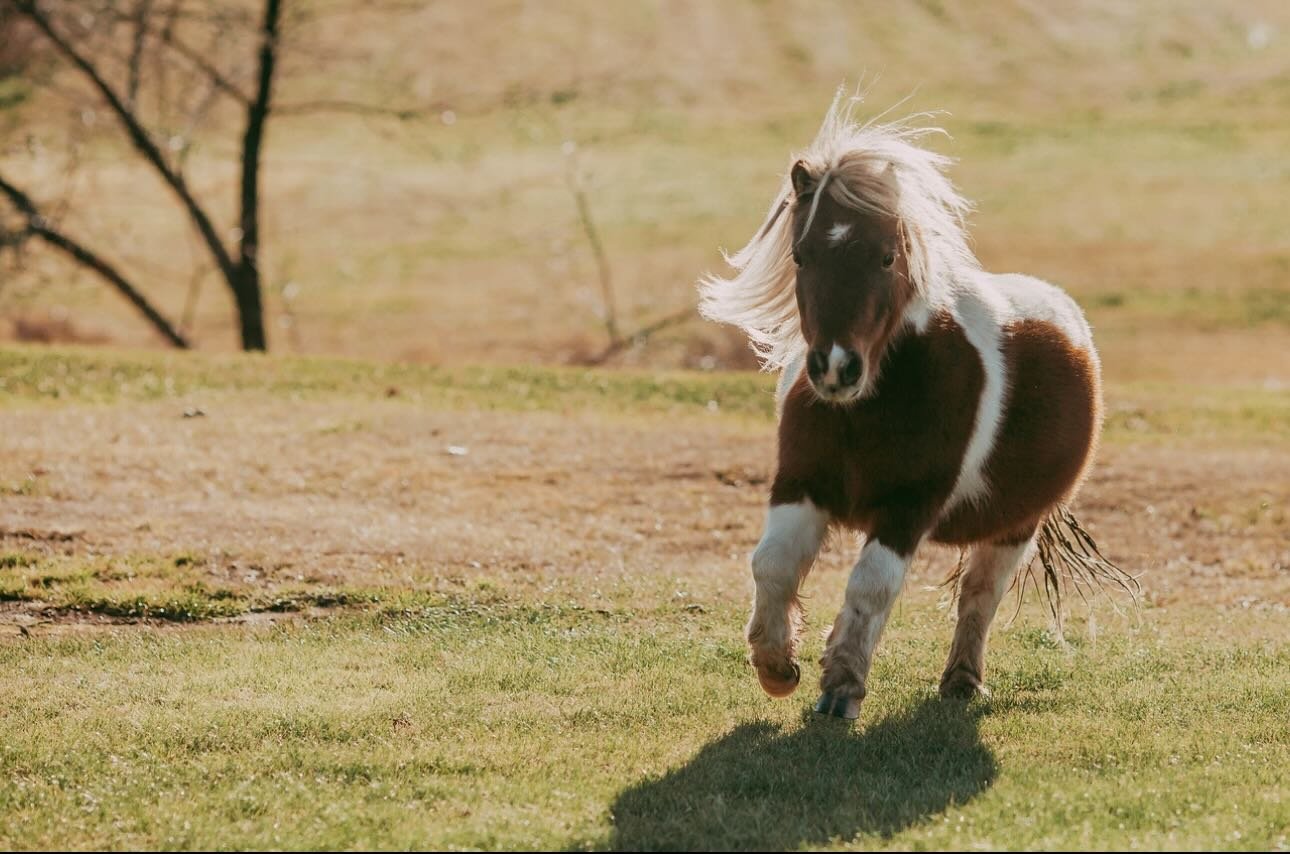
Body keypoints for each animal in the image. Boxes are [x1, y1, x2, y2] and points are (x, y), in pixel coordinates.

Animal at [699, 92, 1135, 720]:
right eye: (802, 256)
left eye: (886, 258)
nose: (836, 367)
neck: (869, 407)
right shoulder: (800, 481)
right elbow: (773, 565)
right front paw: (778, 667)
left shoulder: (909, 506)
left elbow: (871, 585)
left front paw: (841, 688)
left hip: (1015, 525)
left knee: (979, 595)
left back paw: (962, 681)